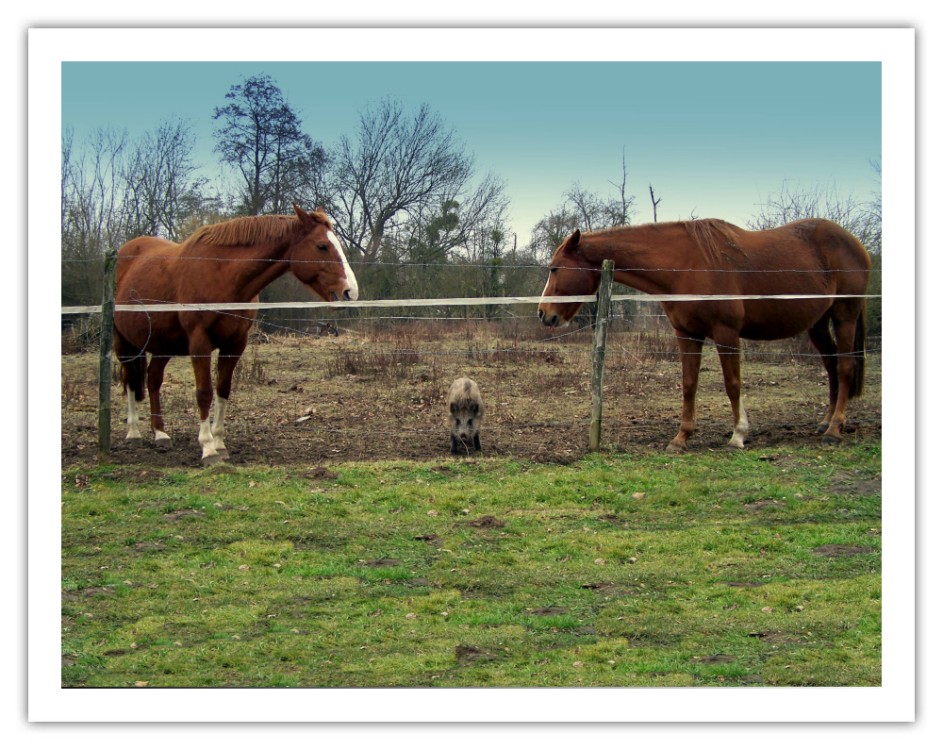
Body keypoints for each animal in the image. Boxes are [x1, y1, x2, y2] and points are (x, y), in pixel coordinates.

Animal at [113, 205, 359, 464]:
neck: (222, 274)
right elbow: (204, 392)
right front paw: (208, 448)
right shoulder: (199, 342)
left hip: (163, 345)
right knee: (130, 379)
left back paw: (160, 433)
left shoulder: (235, 344)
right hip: (125, 344)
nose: (350, 292)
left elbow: (223, 389)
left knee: (153, 380)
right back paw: (134, 433)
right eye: (322, 246)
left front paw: (220, 443)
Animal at [537, 218, 871, 450]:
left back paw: (834, 429)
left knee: (844, 367)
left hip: (845, 315)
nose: (543, 313)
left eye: (555, 269)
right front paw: (681, 438)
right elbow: (689, 384)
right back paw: (825, 421)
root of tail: (856, 244)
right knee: (831, 365)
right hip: (818, 323)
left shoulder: (726, 333)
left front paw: (738, 435)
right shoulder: (686, 334)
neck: (685, 264)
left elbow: (732, 384)